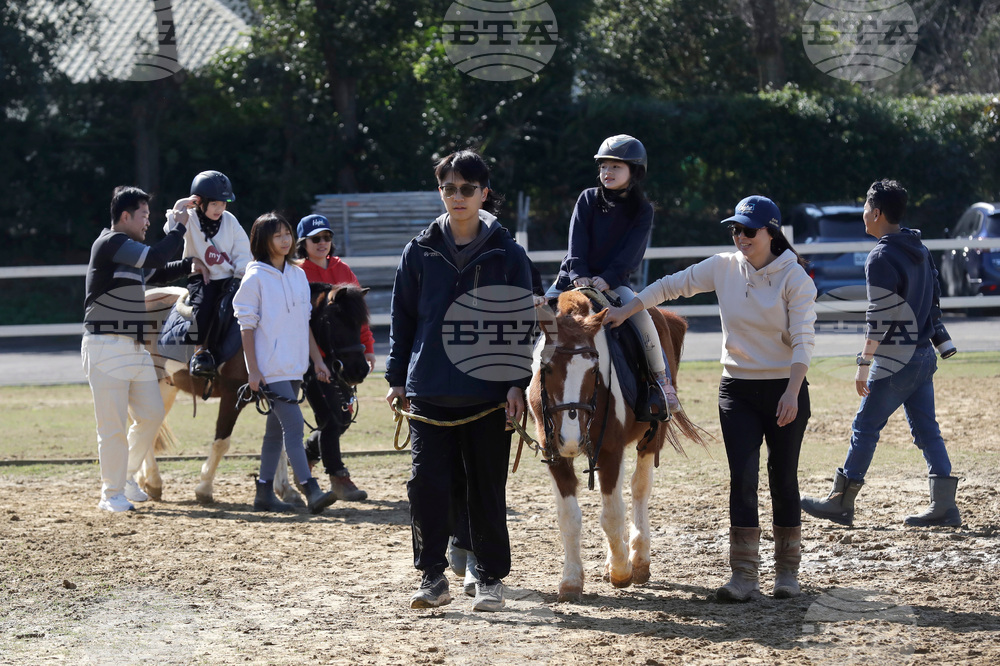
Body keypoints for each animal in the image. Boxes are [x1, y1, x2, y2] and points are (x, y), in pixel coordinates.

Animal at [137, 282, 371, 504]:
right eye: (336, 320)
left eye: (359, 323)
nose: (361, 370)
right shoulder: (233, 395)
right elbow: (222, 442)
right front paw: (204, 489)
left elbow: (281, 441)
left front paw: (286, 490)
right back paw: (151, 481)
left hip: (165, 387)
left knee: (147, 425)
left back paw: (147, 481)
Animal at [527, 289, 706, 602]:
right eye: (546, 368)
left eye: (594, 369)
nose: (571, 440)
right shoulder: (554, 454)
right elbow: (569, 517)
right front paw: (571, 581)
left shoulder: (610, 451)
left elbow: (612, 515)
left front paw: (622, 571)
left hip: (653, 435)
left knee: (639, 489)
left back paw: (639, 560)